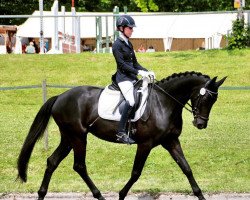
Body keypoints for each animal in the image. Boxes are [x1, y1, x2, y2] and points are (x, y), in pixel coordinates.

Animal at [16, 71, 227, 200]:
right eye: (205, 98)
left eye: (214, 100)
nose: (200, 124)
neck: (164, 103)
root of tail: (60, 97)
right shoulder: (145, 144)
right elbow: (136, 173)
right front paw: (121, 194)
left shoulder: (171, 141)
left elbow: (187, 168)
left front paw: (200, 195)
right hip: (78, 137)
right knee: (79, 166)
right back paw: (99, 195)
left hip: (68, 138)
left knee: (52, 161)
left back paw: (41, 194)